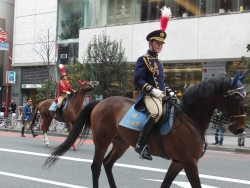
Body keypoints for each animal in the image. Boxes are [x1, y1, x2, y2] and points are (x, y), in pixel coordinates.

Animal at [44, 71, 246, 188]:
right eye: (237, 98)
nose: (240, 130)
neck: (189, 118)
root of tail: (101, 102)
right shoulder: (189, 162)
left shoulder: (178, 162)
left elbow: (165, 184)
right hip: (101, 141)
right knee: (96, 167)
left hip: (121, 143)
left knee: (107, 164)